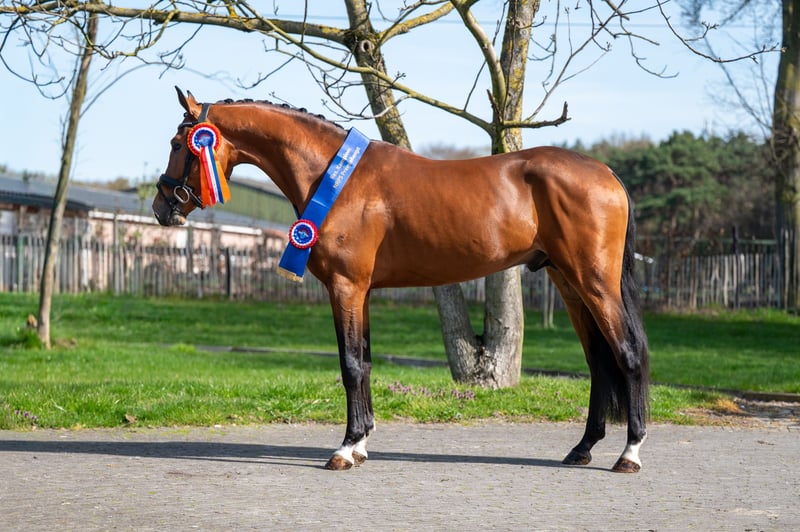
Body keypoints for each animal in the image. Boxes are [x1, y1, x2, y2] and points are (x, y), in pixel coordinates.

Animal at [152, 88, 650, 473]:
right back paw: (582, 449)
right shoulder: (363, 293)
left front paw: (344, 449)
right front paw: (361, 443)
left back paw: (629, 453)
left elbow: (350, 366)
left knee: (628, 353)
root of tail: (606, 173)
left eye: (179, 142)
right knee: (599, 363)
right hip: (569, 284)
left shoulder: (346, 287)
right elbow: (367, 362)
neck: (335, 176)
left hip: (593, 283)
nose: (161, 208)